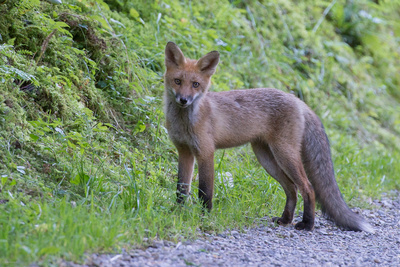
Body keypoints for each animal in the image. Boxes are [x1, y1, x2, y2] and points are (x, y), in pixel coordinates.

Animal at [163, 40, 376, 233]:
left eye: (195, 84)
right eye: (178, 81)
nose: (183, 100)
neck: (185, 123)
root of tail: (297, 99)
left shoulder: (206, 152)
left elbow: (205, 192)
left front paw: (204, 217)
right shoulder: (184, 151)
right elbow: (181, 188)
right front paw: (178, 212)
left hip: (284, 153)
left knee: (307, 187)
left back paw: (307, 224)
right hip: (266, 158)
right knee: (292, 189)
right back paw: (286, 219)